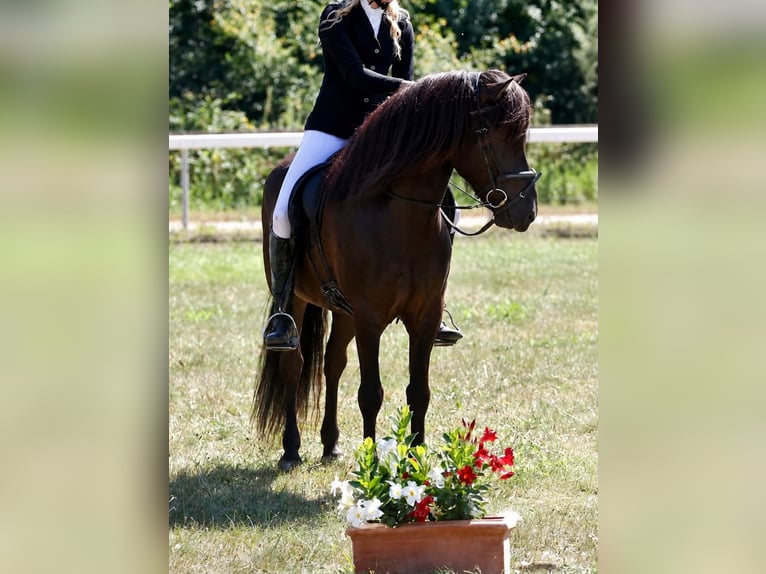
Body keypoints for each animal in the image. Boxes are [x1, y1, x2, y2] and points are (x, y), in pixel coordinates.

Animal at [253, 69, 540, 471]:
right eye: (496, 136)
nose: (527, 211)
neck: (399, 213)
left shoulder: (425, 315)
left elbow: (419, 391)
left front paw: (417, 464)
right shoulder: (370, 318)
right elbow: (370, 393)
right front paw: (371, 464)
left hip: (344, 311)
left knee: (332, 363)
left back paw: (330, 445)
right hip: (296, 299)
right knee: (293, 363)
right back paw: (291, 449)